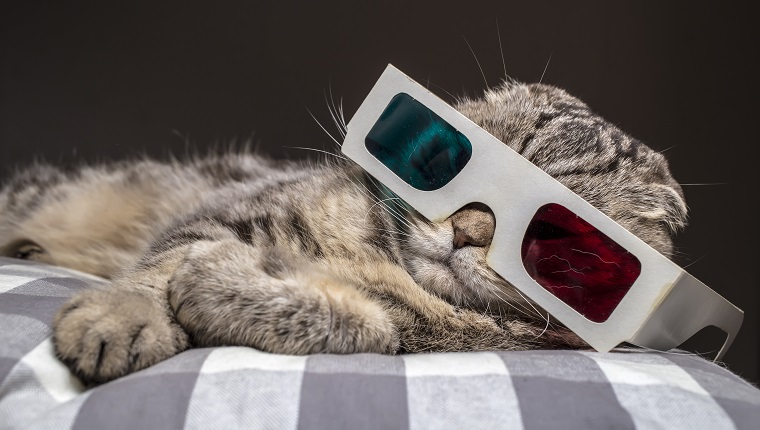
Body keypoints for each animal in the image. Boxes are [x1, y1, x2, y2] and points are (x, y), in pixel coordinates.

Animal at [0, 79, 688, 384]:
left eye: (562, 245)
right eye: (449, 160)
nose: (467, 231)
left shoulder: (416, 335)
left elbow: (364, 323)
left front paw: (224, 285)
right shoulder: (228, 210)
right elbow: (155, 271)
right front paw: (123, 316)